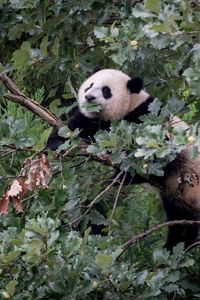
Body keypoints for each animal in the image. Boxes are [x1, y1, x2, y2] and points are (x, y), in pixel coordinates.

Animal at [46, 67, 199, 251]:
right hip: (178, 199)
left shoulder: (147, 118)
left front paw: (121, 176)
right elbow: (76, 128)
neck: (131, 104)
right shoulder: (96, 122)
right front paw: (55, 142)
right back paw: (173, 247)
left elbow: (155, 157)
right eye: (90, 85)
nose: (89, 97)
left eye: (106, 91)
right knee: (182, 225)